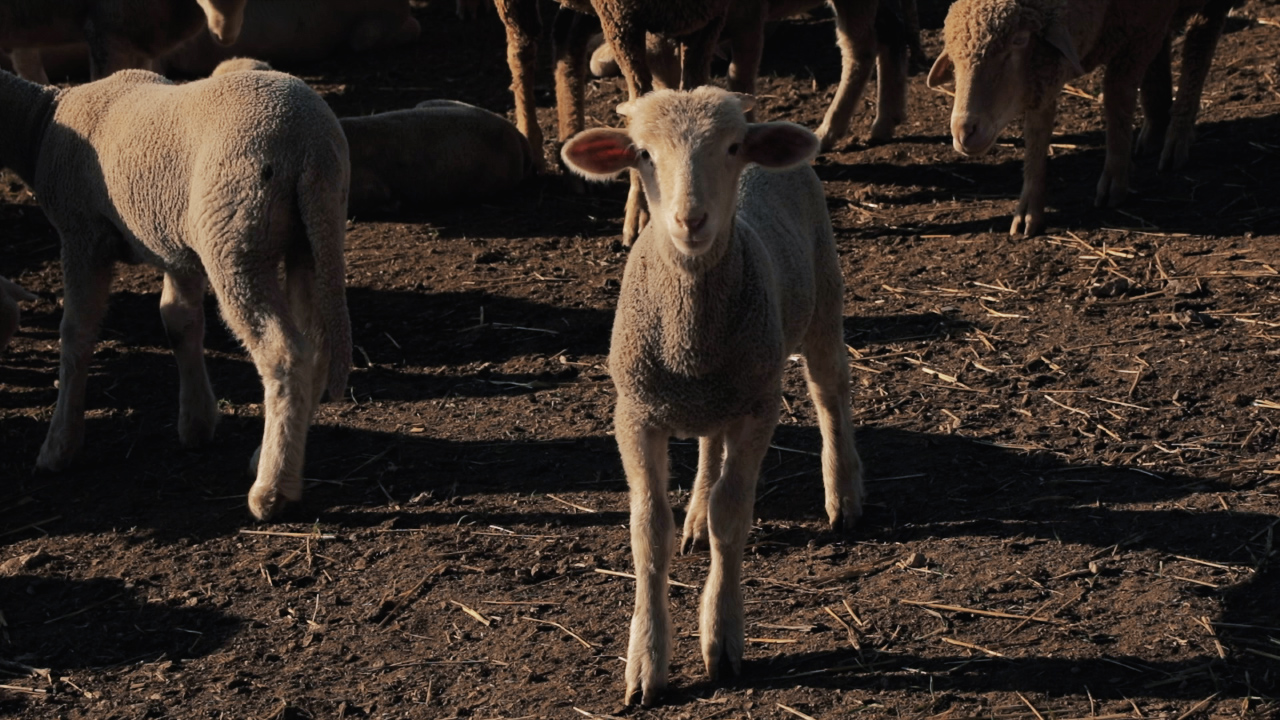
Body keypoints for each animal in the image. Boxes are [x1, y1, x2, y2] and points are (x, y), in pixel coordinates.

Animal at [0, 66, 352, 521]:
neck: (41, 121)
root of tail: (311, 144)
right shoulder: (175, 244)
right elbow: (179, 321)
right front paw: (197, 422)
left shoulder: (82, 234)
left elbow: (76, 335)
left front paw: (59, 446)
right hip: (313, 234)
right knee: (318, 346)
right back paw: (267, 456)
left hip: (234, 240)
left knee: (285, 353)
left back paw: (273, 491)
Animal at [561, 86, 863, 706]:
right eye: (643, 154)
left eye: (731, 148)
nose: (690, 219)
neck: (689, 338)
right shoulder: (634, 413)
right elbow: (649, 529)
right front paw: (646, 660)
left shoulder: (760, 405)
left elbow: (733, 513)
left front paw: (721, 639)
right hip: (722, 389)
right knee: (710, 443)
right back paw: (697, 511)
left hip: (823, 298)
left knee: (830, 393)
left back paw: (843, 494)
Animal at [927, 0, 1219, 236]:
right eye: (953, 57)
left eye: (1019, 40)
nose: (964, 131)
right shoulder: (1043, 74)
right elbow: (1037, 131)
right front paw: (1029, 212)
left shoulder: (1141, 33)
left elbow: (1117, 99)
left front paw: (1114, 180)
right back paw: (1156, 128)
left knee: (1199, 44)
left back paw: (1177, 138)